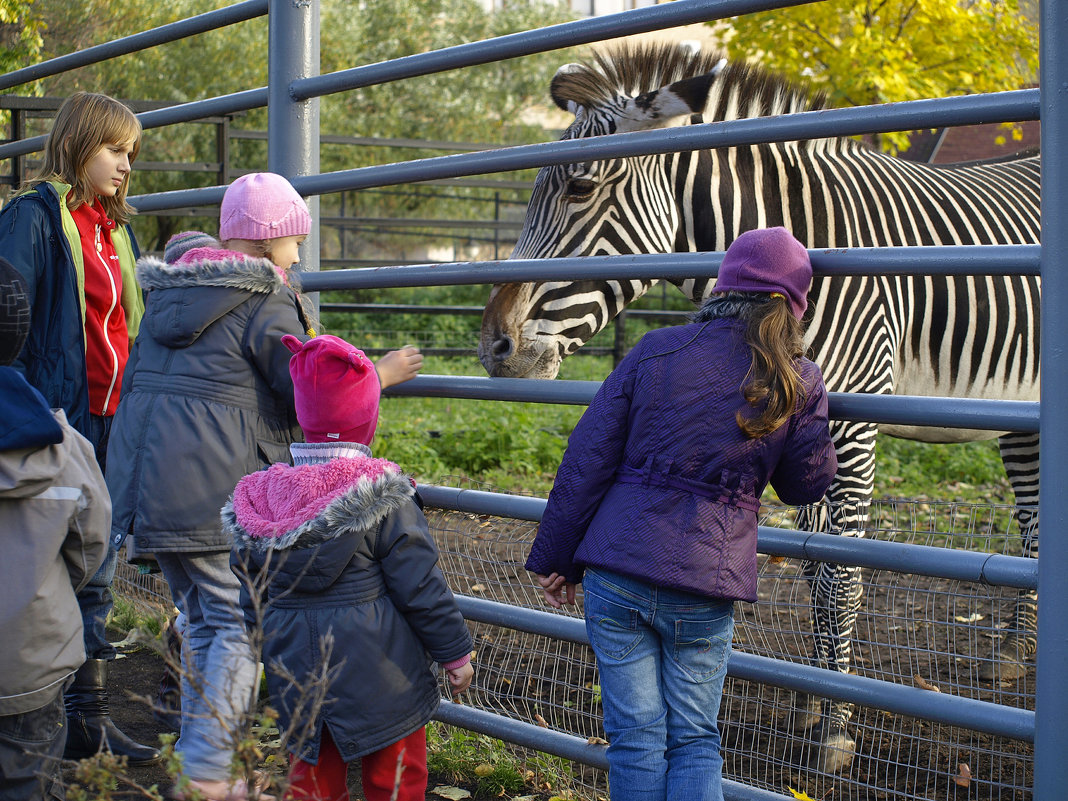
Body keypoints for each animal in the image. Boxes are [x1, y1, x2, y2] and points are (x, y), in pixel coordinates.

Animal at [478, 42, 1042, 777]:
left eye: (579, 188)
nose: (493, 345)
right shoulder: (806, 432)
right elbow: (809, 565)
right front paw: (810, 697)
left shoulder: (853, 426)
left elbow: (840, 577)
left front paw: (836, 724)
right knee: (1033, 525)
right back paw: (1012, 654)